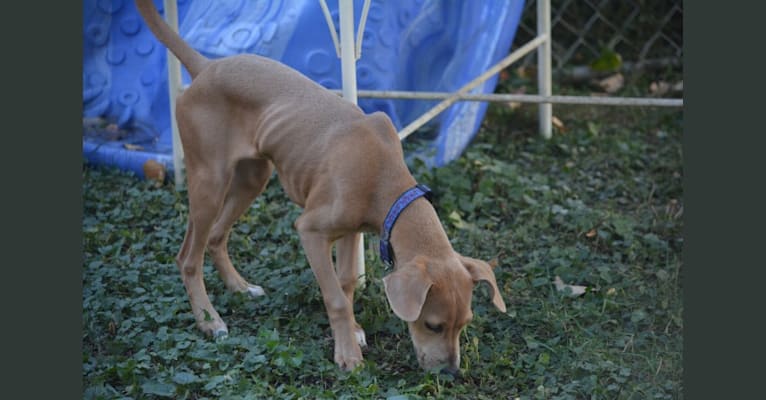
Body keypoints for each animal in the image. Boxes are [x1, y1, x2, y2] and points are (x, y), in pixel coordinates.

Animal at [136, 0, 510, 376]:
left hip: (252, 178)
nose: (451, 373)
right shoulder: (311, 231)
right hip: (209, 183)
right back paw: (209, 320)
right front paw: (347, 354)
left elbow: (346, 284)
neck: (385, 180)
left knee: (216, 236)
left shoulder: (350, 231)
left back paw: (240, 287)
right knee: (188, 258)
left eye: (464, 324)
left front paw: (354, 332)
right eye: (433, 325)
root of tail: (206, 67)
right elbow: (334, 296)